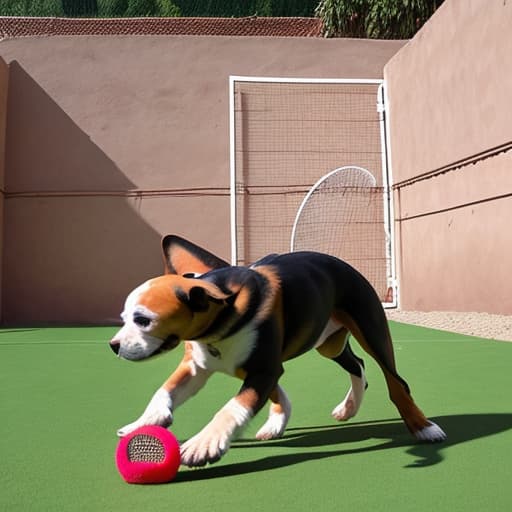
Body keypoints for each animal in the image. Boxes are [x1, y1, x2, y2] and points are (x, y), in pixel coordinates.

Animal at [110, 234, 446, 466]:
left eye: (143, 320)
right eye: (123, 318)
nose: (114, 345)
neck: (220, 319)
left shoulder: (263, 369)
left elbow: (235, 405)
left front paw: (207, 440)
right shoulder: (199, 367)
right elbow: (165, 392)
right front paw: (146, 420)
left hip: (372, 331)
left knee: (396, 382)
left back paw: (423, 427)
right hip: (328, 343)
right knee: (358, 365)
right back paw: (348, 406)